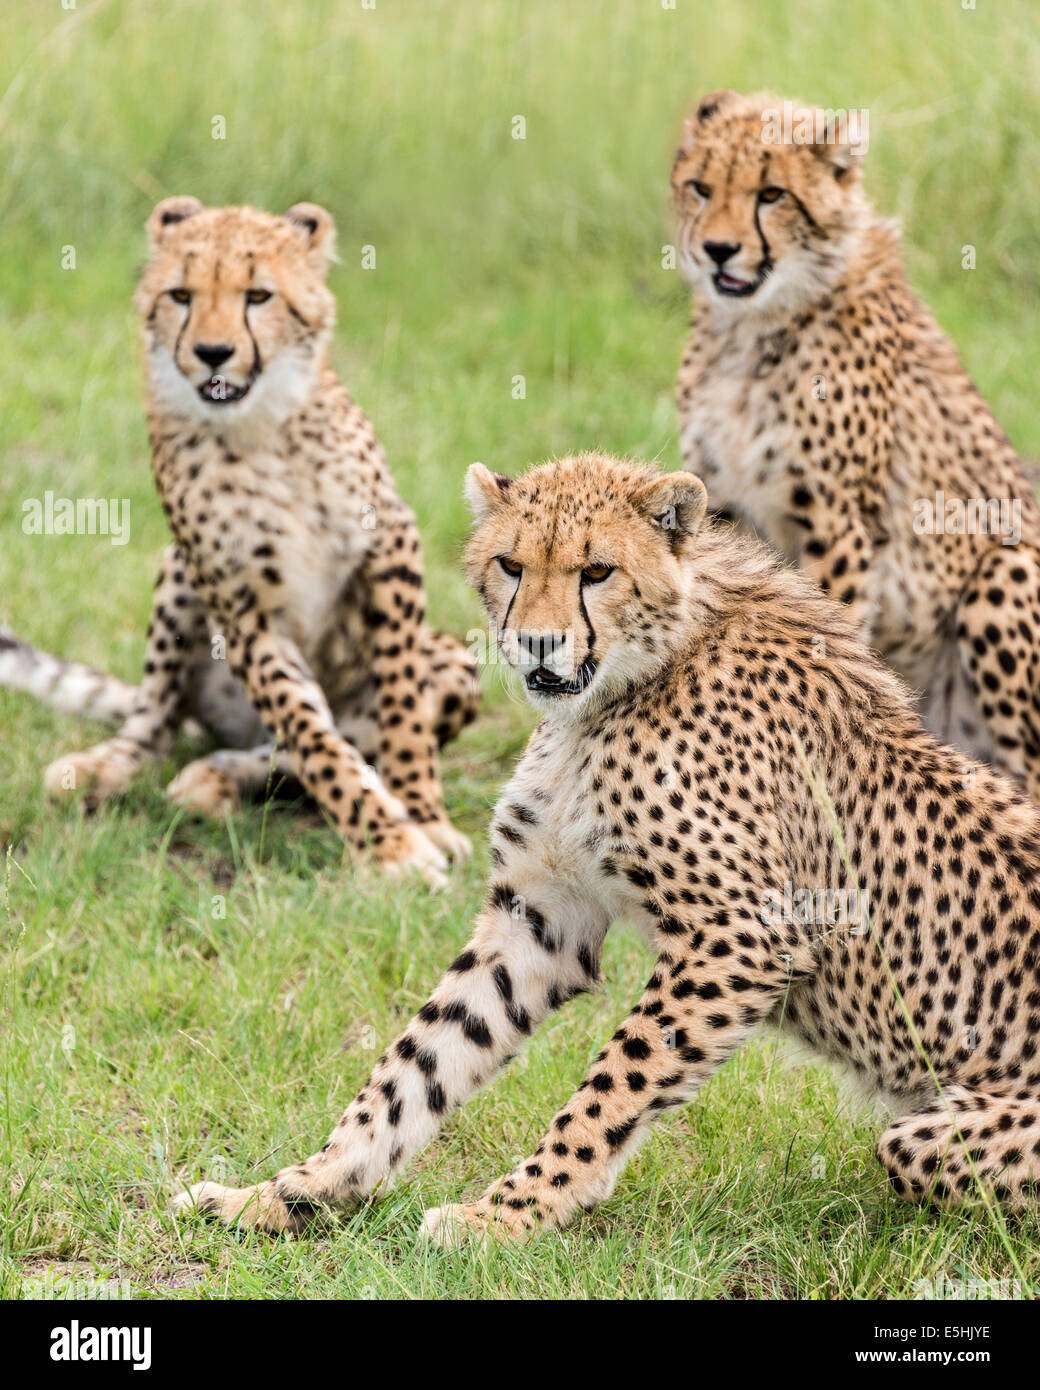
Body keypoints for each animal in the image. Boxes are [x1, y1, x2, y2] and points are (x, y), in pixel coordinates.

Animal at [0, 198, 478, 878]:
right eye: (181, 295)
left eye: (259, 295)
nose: (212, 351)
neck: (260, 431)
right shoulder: (244, 605)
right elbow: (310, 731)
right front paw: (389, 843)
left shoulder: (391, 543)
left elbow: (402, 705)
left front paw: (423, 815)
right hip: (179, 576)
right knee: (160, 726)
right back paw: (103, 770)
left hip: (460, 662)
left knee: (300, 751)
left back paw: (218, 778)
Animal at [172, 453, 1040, 1239]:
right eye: (511, 565)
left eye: (597, 571)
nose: (537, 644)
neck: (620, 689)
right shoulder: (539, 916)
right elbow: (417, 1062)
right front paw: (291, 1193)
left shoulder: (740, 937)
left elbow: (614, 1083)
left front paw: (508, 1216)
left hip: (927, 1134)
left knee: (907, 1152)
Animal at [670, 86, 1040, 800]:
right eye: (700, 188)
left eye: (772, 195)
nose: (718, 250)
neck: (753, 330)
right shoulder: (721, 510)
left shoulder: (837, 523)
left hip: (1004, 566)